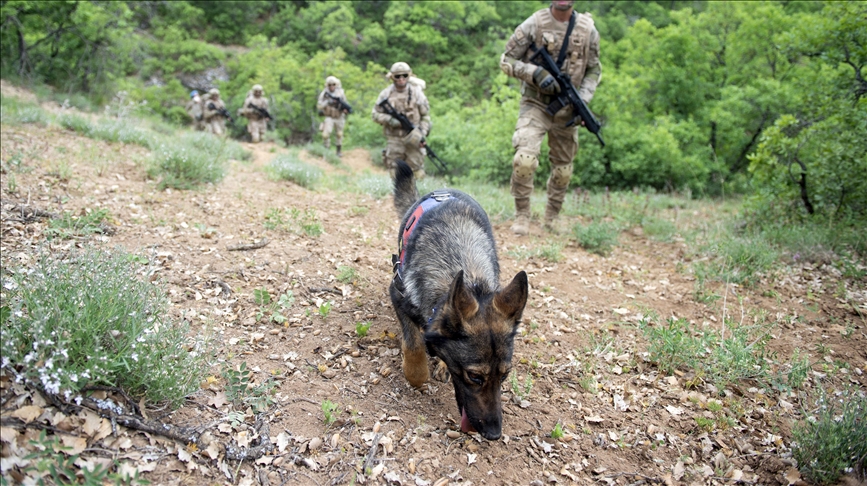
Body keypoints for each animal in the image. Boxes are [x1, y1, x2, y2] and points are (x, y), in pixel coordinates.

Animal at [388, 160, 524, 440]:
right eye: (474, 377)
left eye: (504, 376)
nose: (494, 434)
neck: (468, 274)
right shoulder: (397, 296)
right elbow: (414, 348)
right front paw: (417, 372)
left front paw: (440, 361)